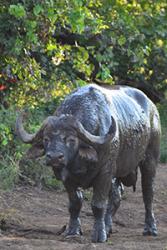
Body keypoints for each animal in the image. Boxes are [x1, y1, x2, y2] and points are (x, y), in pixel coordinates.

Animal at [15, 84, 160, 242]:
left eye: (71, 139)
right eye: (46, 139)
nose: (54, 157)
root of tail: (153, 109)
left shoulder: (105, 171)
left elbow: (98, 204)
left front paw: (99, 235)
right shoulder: (67, 178)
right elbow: (75, 203)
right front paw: (73, 230)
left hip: (150, 159)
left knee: (148, 193)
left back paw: (150, 228)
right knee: (116, 196)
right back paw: (108, 227)